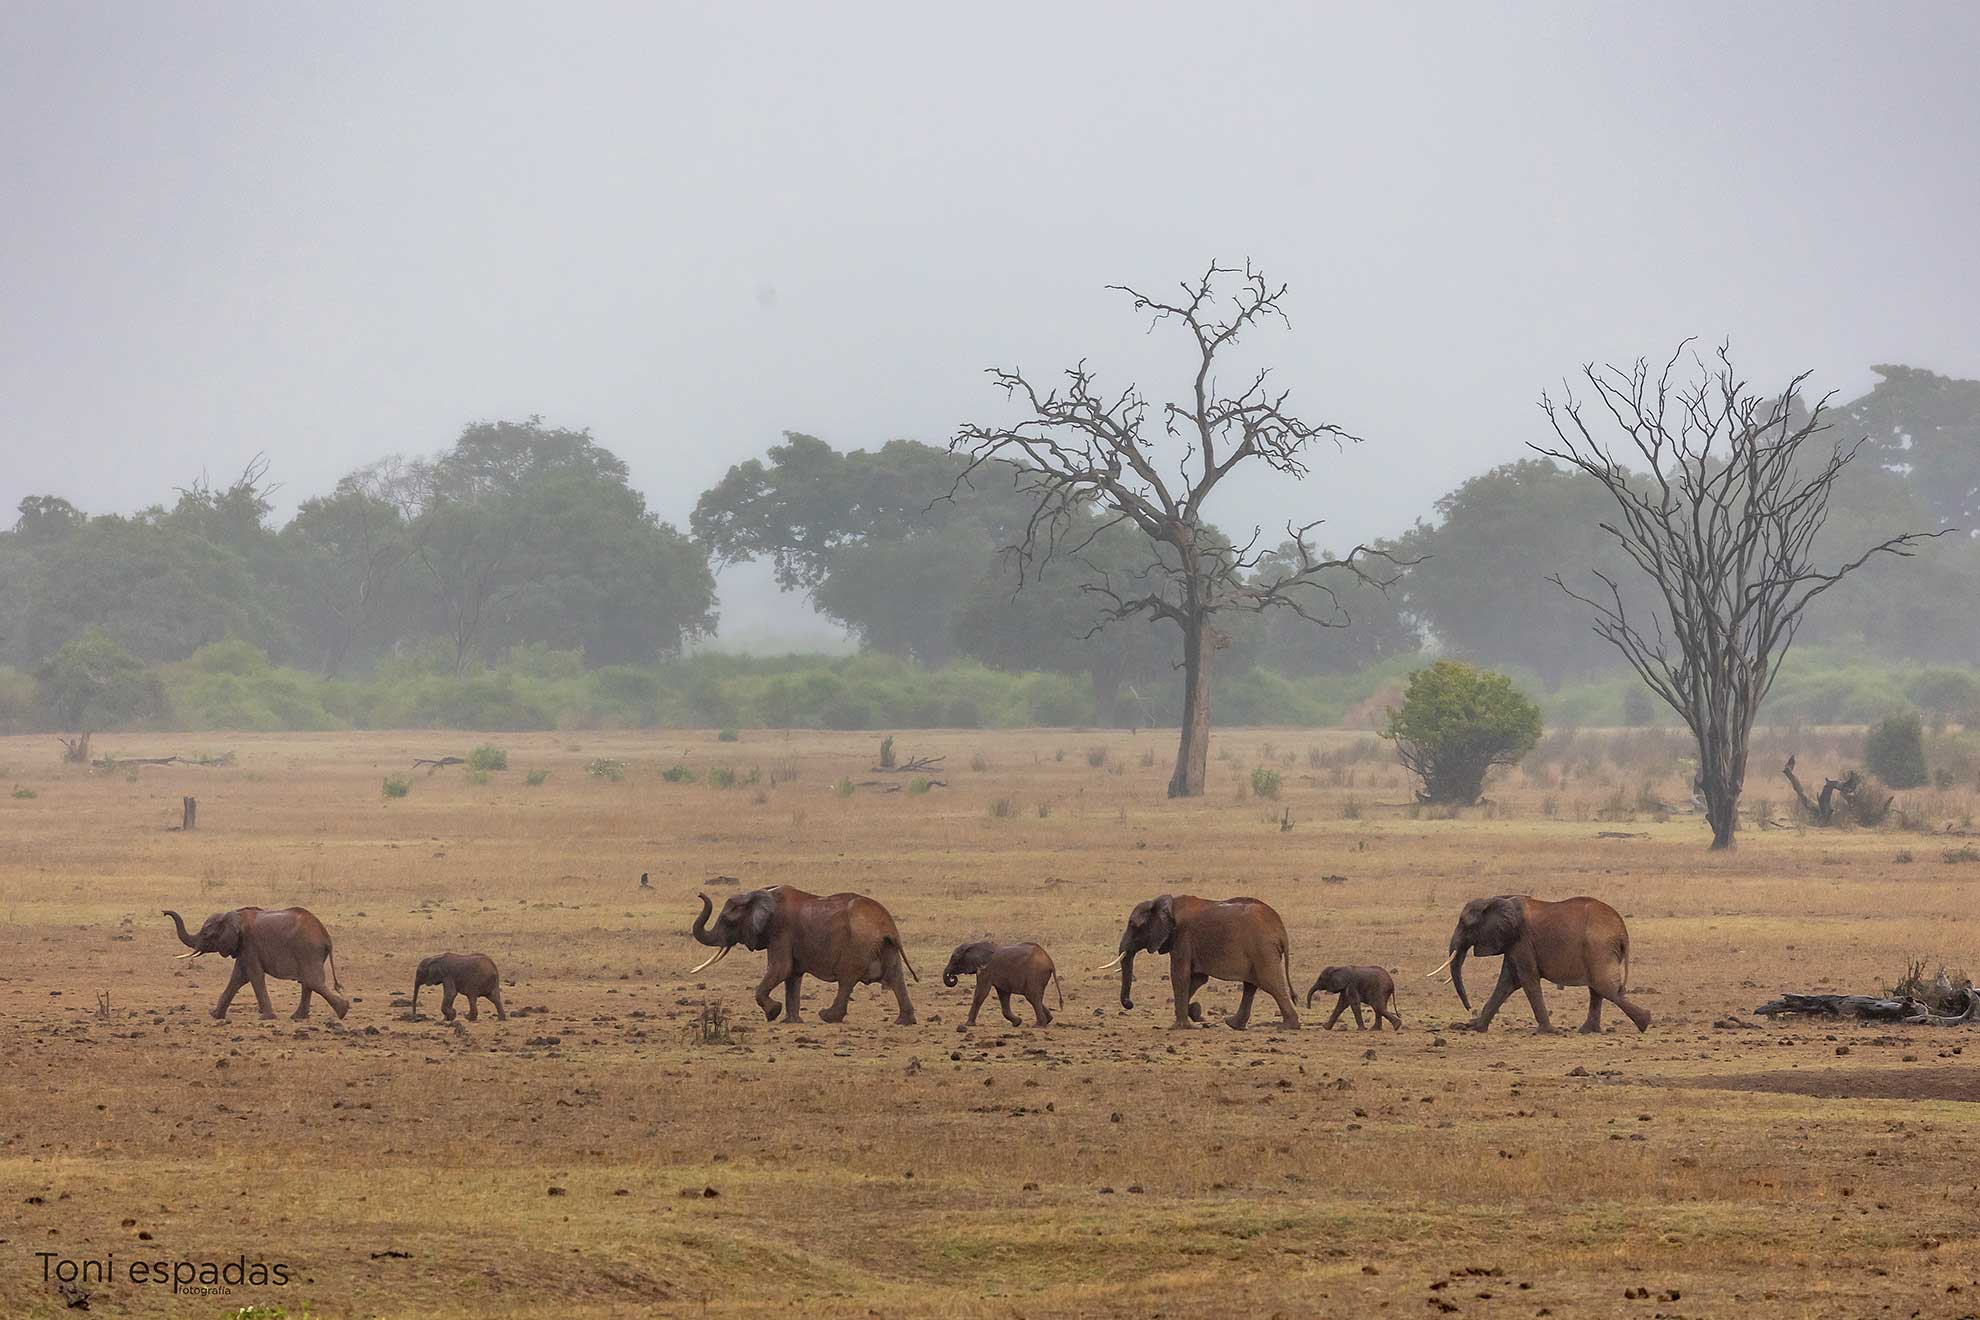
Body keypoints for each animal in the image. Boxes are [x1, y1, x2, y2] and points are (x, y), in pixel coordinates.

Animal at [164, 907, 348, 1021]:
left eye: (205, 935)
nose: (164, 912)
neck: (232, 915)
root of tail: (326, 937)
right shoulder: (243, 946)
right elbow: (238, 977)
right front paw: (215, 1015)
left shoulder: (249, 943)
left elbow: (253, 975)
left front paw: (266, 1018)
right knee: (307, 982)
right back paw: (298, 1017)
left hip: (307, 950)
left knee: (311, 981)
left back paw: (343, 1011)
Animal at [687, 886, 918, 1025]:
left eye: (727, 920)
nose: (699, 895)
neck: (758, 894)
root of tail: (888, 925)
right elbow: (791, 976)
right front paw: (790, 1021)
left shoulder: (780, 931)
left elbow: (780, 969)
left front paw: (773, 1013)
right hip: (886, 947)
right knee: (896, 977)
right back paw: (904, 1021)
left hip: (858, 944)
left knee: (846, 979)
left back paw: (827, 1016)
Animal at [1102, 894, 1300, 1030]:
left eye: (1134, 926)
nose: (1130, 1004)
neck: (1166, 903)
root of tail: (1280, 929)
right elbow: (1197, 979)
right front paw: (1194, 1012)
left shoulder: (1182, 937)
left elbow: (1179, 975)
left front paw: (1179, 1027)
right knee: (1251, 985)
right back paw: (1233, 1024)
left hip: (1262, 950)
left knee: (1271, 984)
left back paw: (1287, 1026)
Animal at [1431, 895, 1650, 1034]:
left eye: (1464, 924)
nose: (1469, 1010)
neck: (1496, 901)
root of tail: (1622, 931)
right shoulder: (1512, 941)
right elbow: (1508, 982)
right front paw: (1476, 1028)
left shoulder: (1522, 939)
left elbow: (1527, 980)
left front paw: (1545, 1031)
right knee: (1598, 989)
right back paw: (1588, 1031)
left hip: (1598, 947)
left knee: (1604, 987)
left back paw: (1645, 1022)